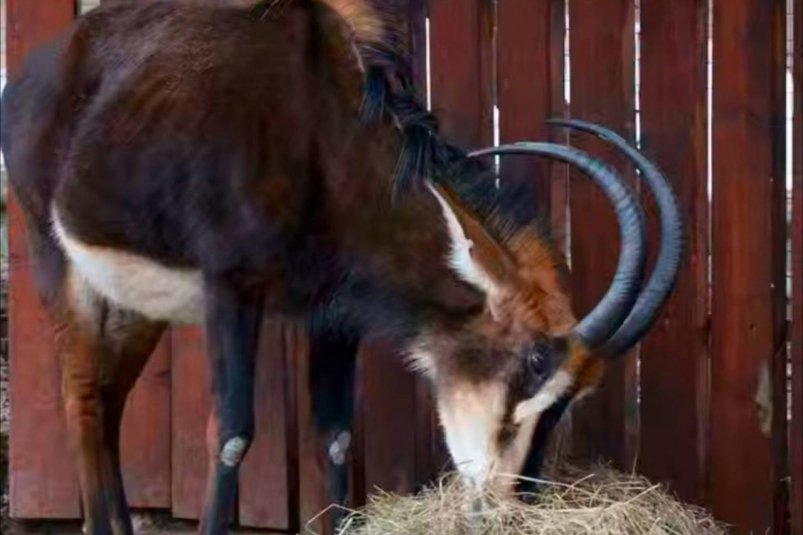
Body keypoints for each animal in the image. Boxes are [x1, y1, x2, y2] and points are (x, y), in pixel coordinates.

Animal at [0, 1, 680, 535]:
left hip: (137, 304)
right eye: (533, 362)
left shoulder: (333, 314)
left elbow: (335, 435)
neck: (324, 133)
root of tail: (37, 71)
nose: (505, 507)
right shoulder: (232, 289)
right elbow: (231, 433)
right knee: (82, 398)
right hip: (59, 263)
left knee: (108, 401)